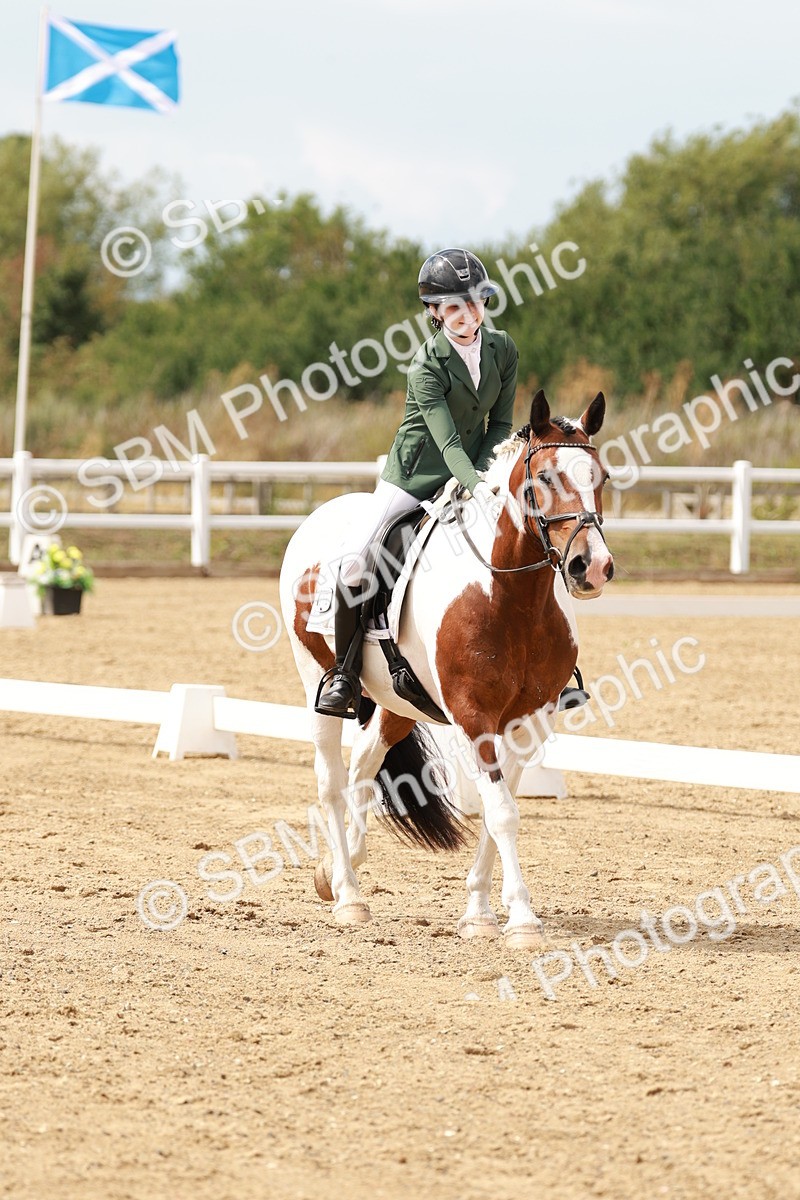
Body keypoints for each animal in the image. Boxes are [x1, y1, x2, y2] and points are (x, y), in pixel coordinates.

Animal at [278, 389, 614, 949]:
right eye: (544, 478)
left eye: (602, 477)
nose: (592, 567)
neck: (511, 595)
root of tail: (318, 514)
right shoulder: (474, 716)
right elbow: (501, 813)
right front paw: (523, 921)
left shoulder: (529, 722)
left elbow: (500, 809)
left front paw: (479, 912)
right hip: (315, 682)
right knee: (330, 780)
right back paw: (347, 895)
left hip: (398, 702)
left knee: (363, 767)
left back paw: (337, 874)